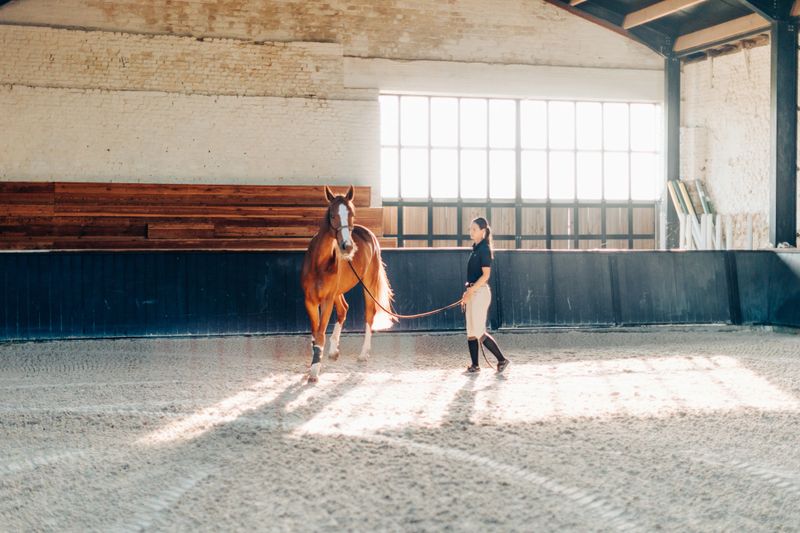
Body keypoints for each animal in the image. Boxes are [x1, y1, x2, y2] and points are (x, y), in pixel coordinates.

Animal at [300, 185, 396, 382]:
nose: (347, 246)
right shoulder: (310, 301)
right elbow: (315, 332)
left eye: (352, 213)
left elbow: (320, 333)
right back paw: (333, 351)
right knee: (343, 309)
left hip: (367, 284)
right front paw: (315, 363)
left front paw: (314, 371)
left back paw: (363, 354)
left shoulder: (327, 300)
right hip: (338, 291)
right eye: (332, 215)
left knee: (369, 314)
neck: (319, 263)